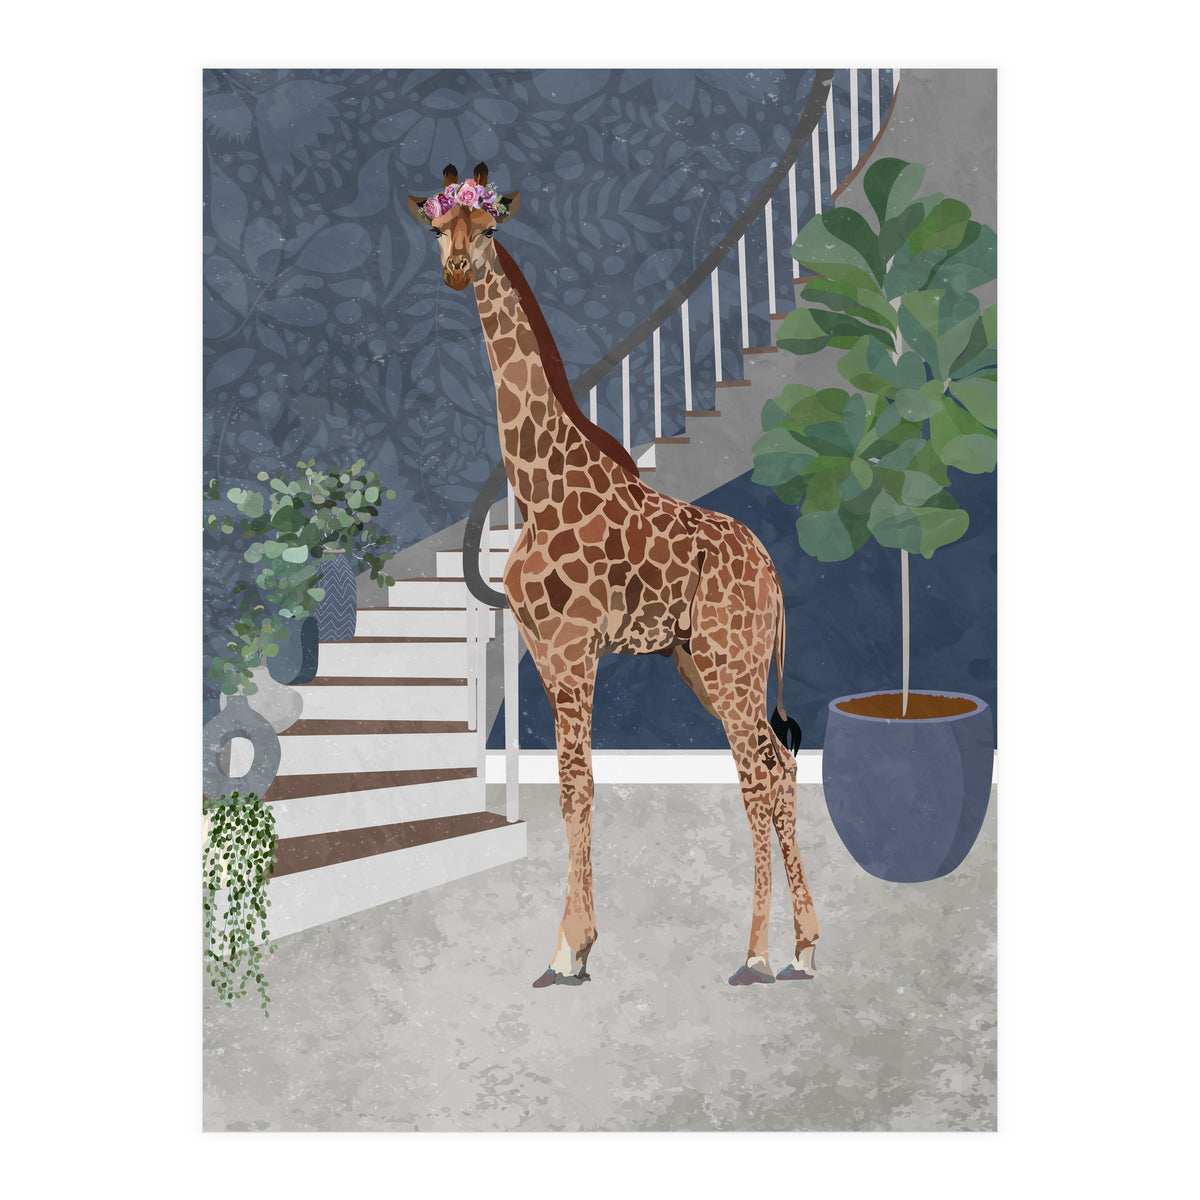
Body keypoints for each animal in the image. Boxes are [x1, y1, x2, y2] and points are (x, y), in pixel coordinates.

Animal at [408, 162, 819, 987]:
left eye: (489, 227)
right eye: (437, 227)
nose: (458, 269)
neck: (537, 485)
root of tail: (772, 571)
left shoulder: (573, 650)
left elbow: (578, 782)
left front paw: (570, 948)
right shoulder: (541, 649)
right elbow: (572, 787)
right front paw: (574, 944)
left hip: (731, 661)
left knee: (757, 774)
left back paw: (756, 953)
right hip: (706, 662)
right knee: (780, 764)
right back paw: (805, 948)